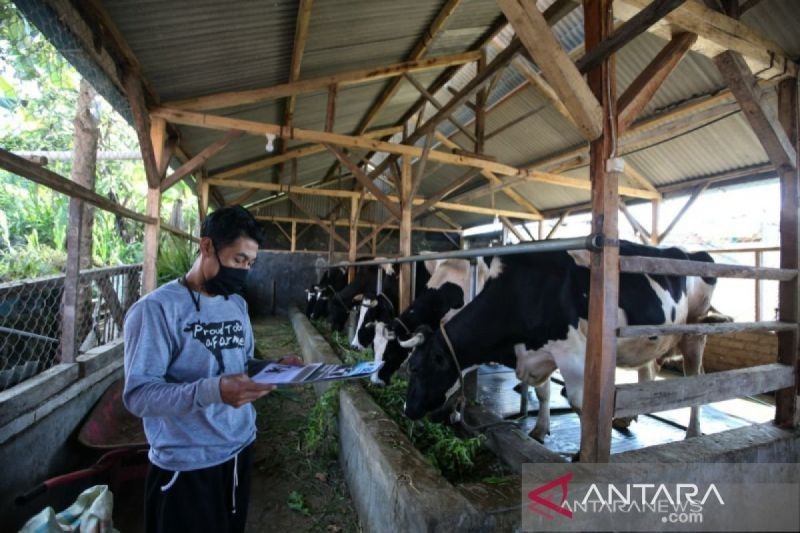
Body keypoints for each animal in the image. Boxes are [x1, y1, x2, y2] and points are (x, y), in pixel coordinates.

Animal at [404, 242, 720, 440]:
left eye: (416, 369)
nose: (407, 410)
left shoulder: (572, 354)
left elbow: (581, 405)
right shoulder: (537, 353)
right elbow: (543, 392)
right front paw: (539, 430)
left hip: (695, 332)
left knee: (697, 379)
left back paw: (693, 431)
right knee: (649, 370)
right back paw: (625, 418)